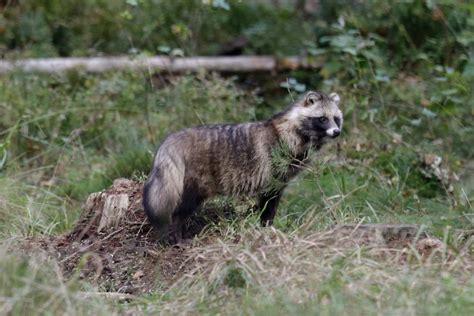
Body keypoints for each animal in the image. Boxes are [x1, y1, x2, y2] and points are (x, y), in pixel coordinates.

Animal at [143, 90, 342, 243]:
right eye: (322, 119)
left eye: (336, 118)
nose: (337, 132)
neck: (295, 130)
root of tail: (172, 140)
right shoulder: (274, 172)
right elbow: (268, 204)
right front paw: (266, 226)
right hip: (195, 180)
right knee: (180, 208)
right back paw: (175, 234)